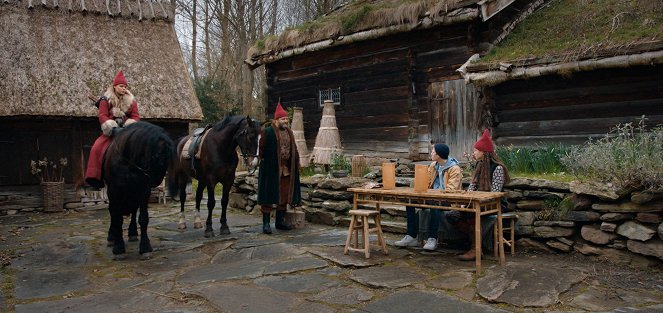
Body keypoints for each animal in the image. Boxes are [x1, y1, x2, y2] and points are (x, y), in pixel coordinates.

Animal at [102, 121, 172, 258]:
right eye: (156, 156)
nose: (156, 181)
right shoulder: (114, 191)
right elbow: (117, 217)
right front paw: (118, 247)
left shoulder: (143, 190)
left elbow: (143, 217)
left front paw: (145, 247)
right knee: (113, 211)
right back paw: (112, 236)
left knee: (134, 210)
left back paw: (133, 232)